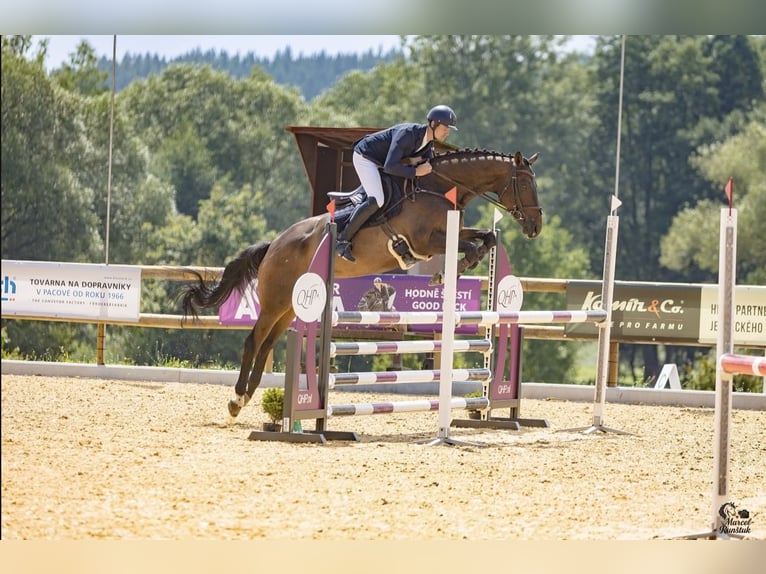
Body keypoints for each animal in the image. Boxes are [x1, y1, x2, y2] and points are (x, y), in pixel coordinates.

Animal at [179, 148, 541, 418]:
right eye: (525, 185)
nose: (535, 226)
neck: (437, 187)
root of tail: (274, 244)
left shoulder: (448, 234)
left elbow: (487, 239)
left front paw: (458, 268)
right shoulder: (425, 242)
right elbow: (470, 246)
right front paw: (449, 272)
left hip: (289, 307)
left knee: (268, 342)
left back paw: (249, 396)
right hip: (276, 301)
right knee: (254, 341)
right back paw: (236, 399)